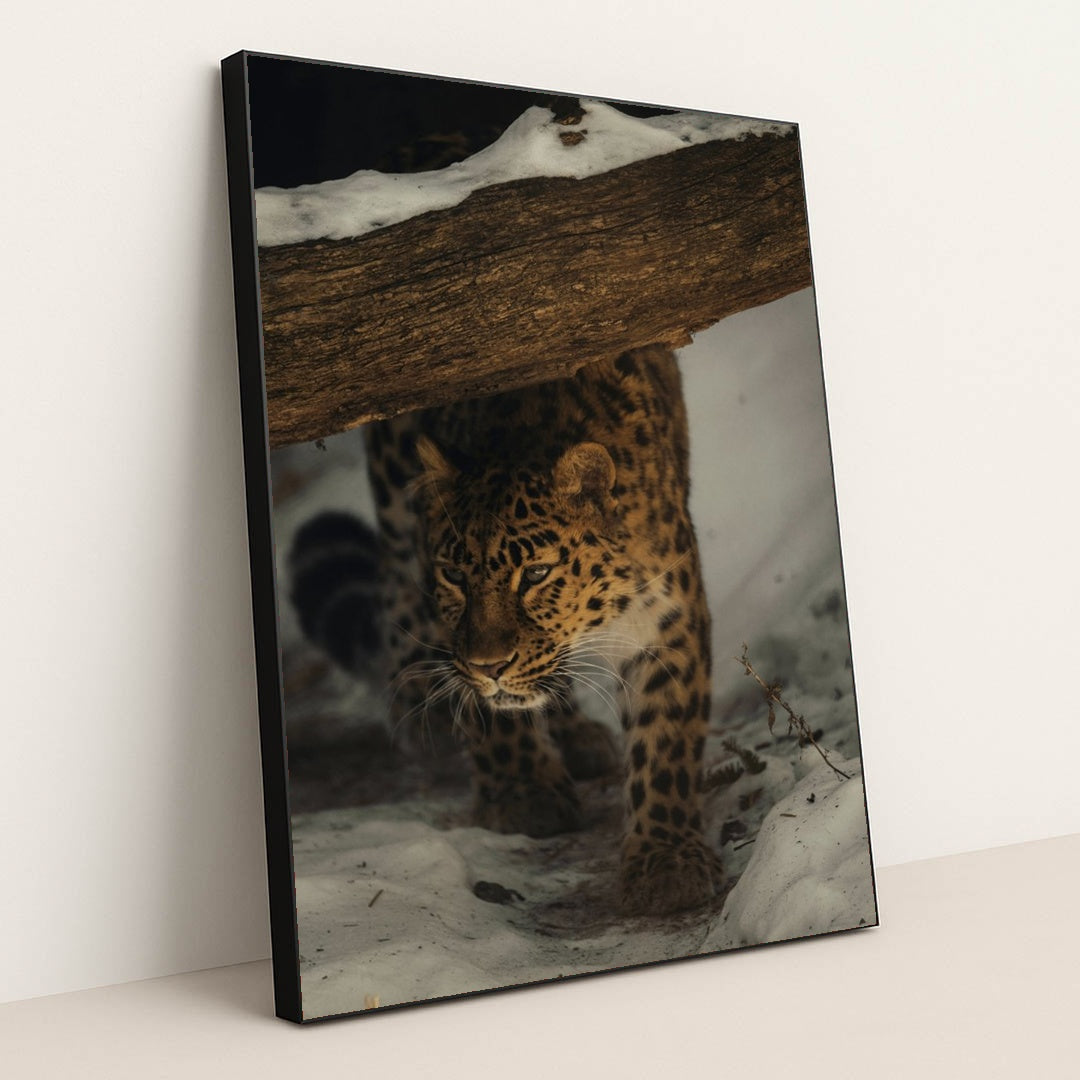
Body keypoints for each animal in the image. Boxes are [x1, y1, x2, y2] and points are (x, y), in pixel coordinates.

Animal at [294, 344, 721, 916]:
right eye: (455, 577)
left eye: (536, 574)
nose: (490, 665)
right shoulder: (449, 625)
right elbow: (486, 712)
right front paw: (525, 793)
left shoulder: (667, 616)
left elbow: (666, 739)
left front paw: (667, 860)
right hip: (393, 481)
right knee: (393, 570)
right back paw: (419, 702)